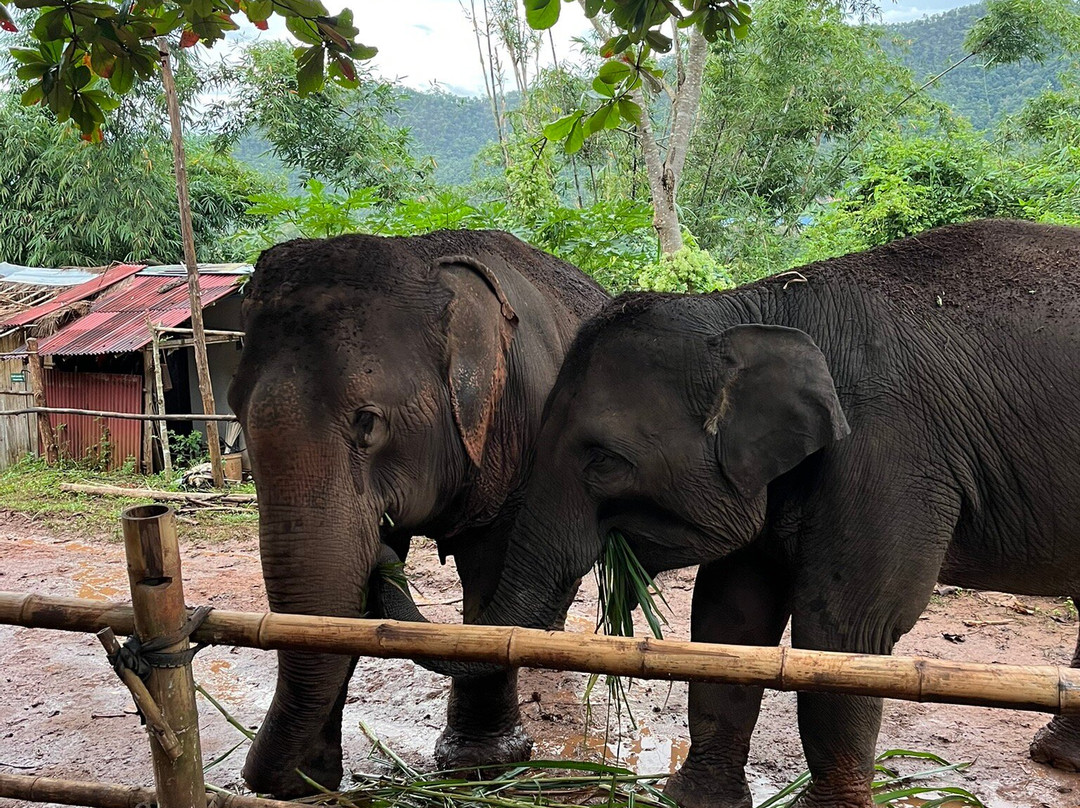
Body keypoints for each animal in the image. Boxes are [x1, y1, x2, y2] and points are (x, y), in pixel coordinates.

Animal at [228, 229, 608, 798]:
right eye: (234, 411)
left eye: (368, 422)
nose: (261, 779)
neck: (423, 257)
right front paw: (310, 781)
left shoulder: (525, 430)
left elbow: (492, 568)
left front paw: (479, 766)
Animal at [389, 219, 1080, 808]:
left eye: (605, 462)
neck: (759, 308)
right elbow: (731, 616)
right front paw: (698, 801)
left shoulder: (892, 451)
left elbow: (846, 630)